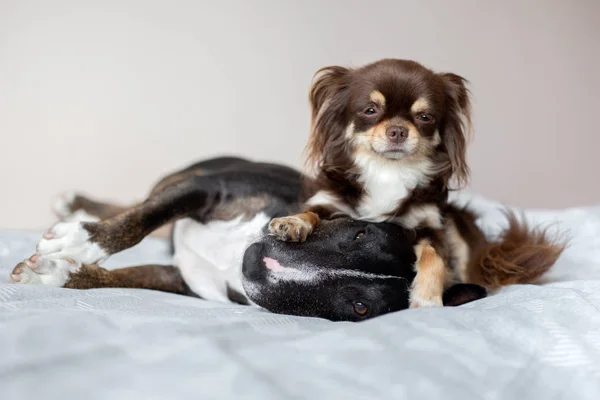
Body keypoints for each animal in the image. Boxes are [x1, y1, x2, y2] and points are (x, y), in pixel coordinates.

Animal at [10, 157, 564, 322]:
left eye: (358, 307)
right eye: (357, 231)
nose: (260, 266)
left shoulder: (179, 280)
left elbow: (125, 276)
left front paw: (59, 272)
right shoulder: (209, 187)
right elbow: (140, 219)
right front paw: (77, 245)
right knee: (142, 203)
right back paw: (76, 205)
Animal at [270, 59, 474, 308]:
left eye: (425, 117)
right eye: (370, 110)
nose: (398, 130)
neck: (387, 170)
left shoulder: (430, 226)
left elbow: (433, 256)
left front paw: (427, 298)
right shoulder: (329, 202)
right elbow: (310, 212)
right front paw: (292, 222)